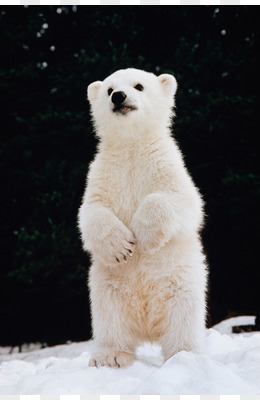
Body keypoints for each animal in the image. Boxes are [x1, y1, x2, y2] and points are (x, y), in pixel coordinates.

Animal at [78, 68, 208, 368]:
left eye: (139, 85)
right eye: (109, 88)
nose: (118, 96)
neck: (132, 147)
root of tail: (148, 328)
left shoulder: (167, 167)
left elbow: (185, 203)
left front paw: (144, 235)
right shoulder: (103, 174)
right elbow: (91, 212)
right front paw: (122, 247)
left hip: (182, 283)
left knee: (183, 319)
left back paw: (183, 356)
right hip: (107, 288)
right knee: (110, 319)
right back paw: (110, 357)